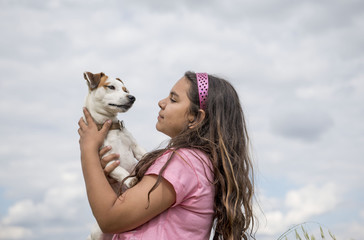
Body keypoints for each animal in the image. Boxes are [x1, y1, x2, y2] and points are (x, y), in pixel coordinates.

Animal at [82, 71, 145, 240]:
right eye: (111, 87)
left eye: (125, 89)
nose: (132, 97)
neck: (111, 128)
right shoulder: (107, 161)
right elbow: (121, 171)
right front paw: (130, 180)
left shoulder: (136, 148)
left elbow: (145, 155)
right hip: (98, 232)